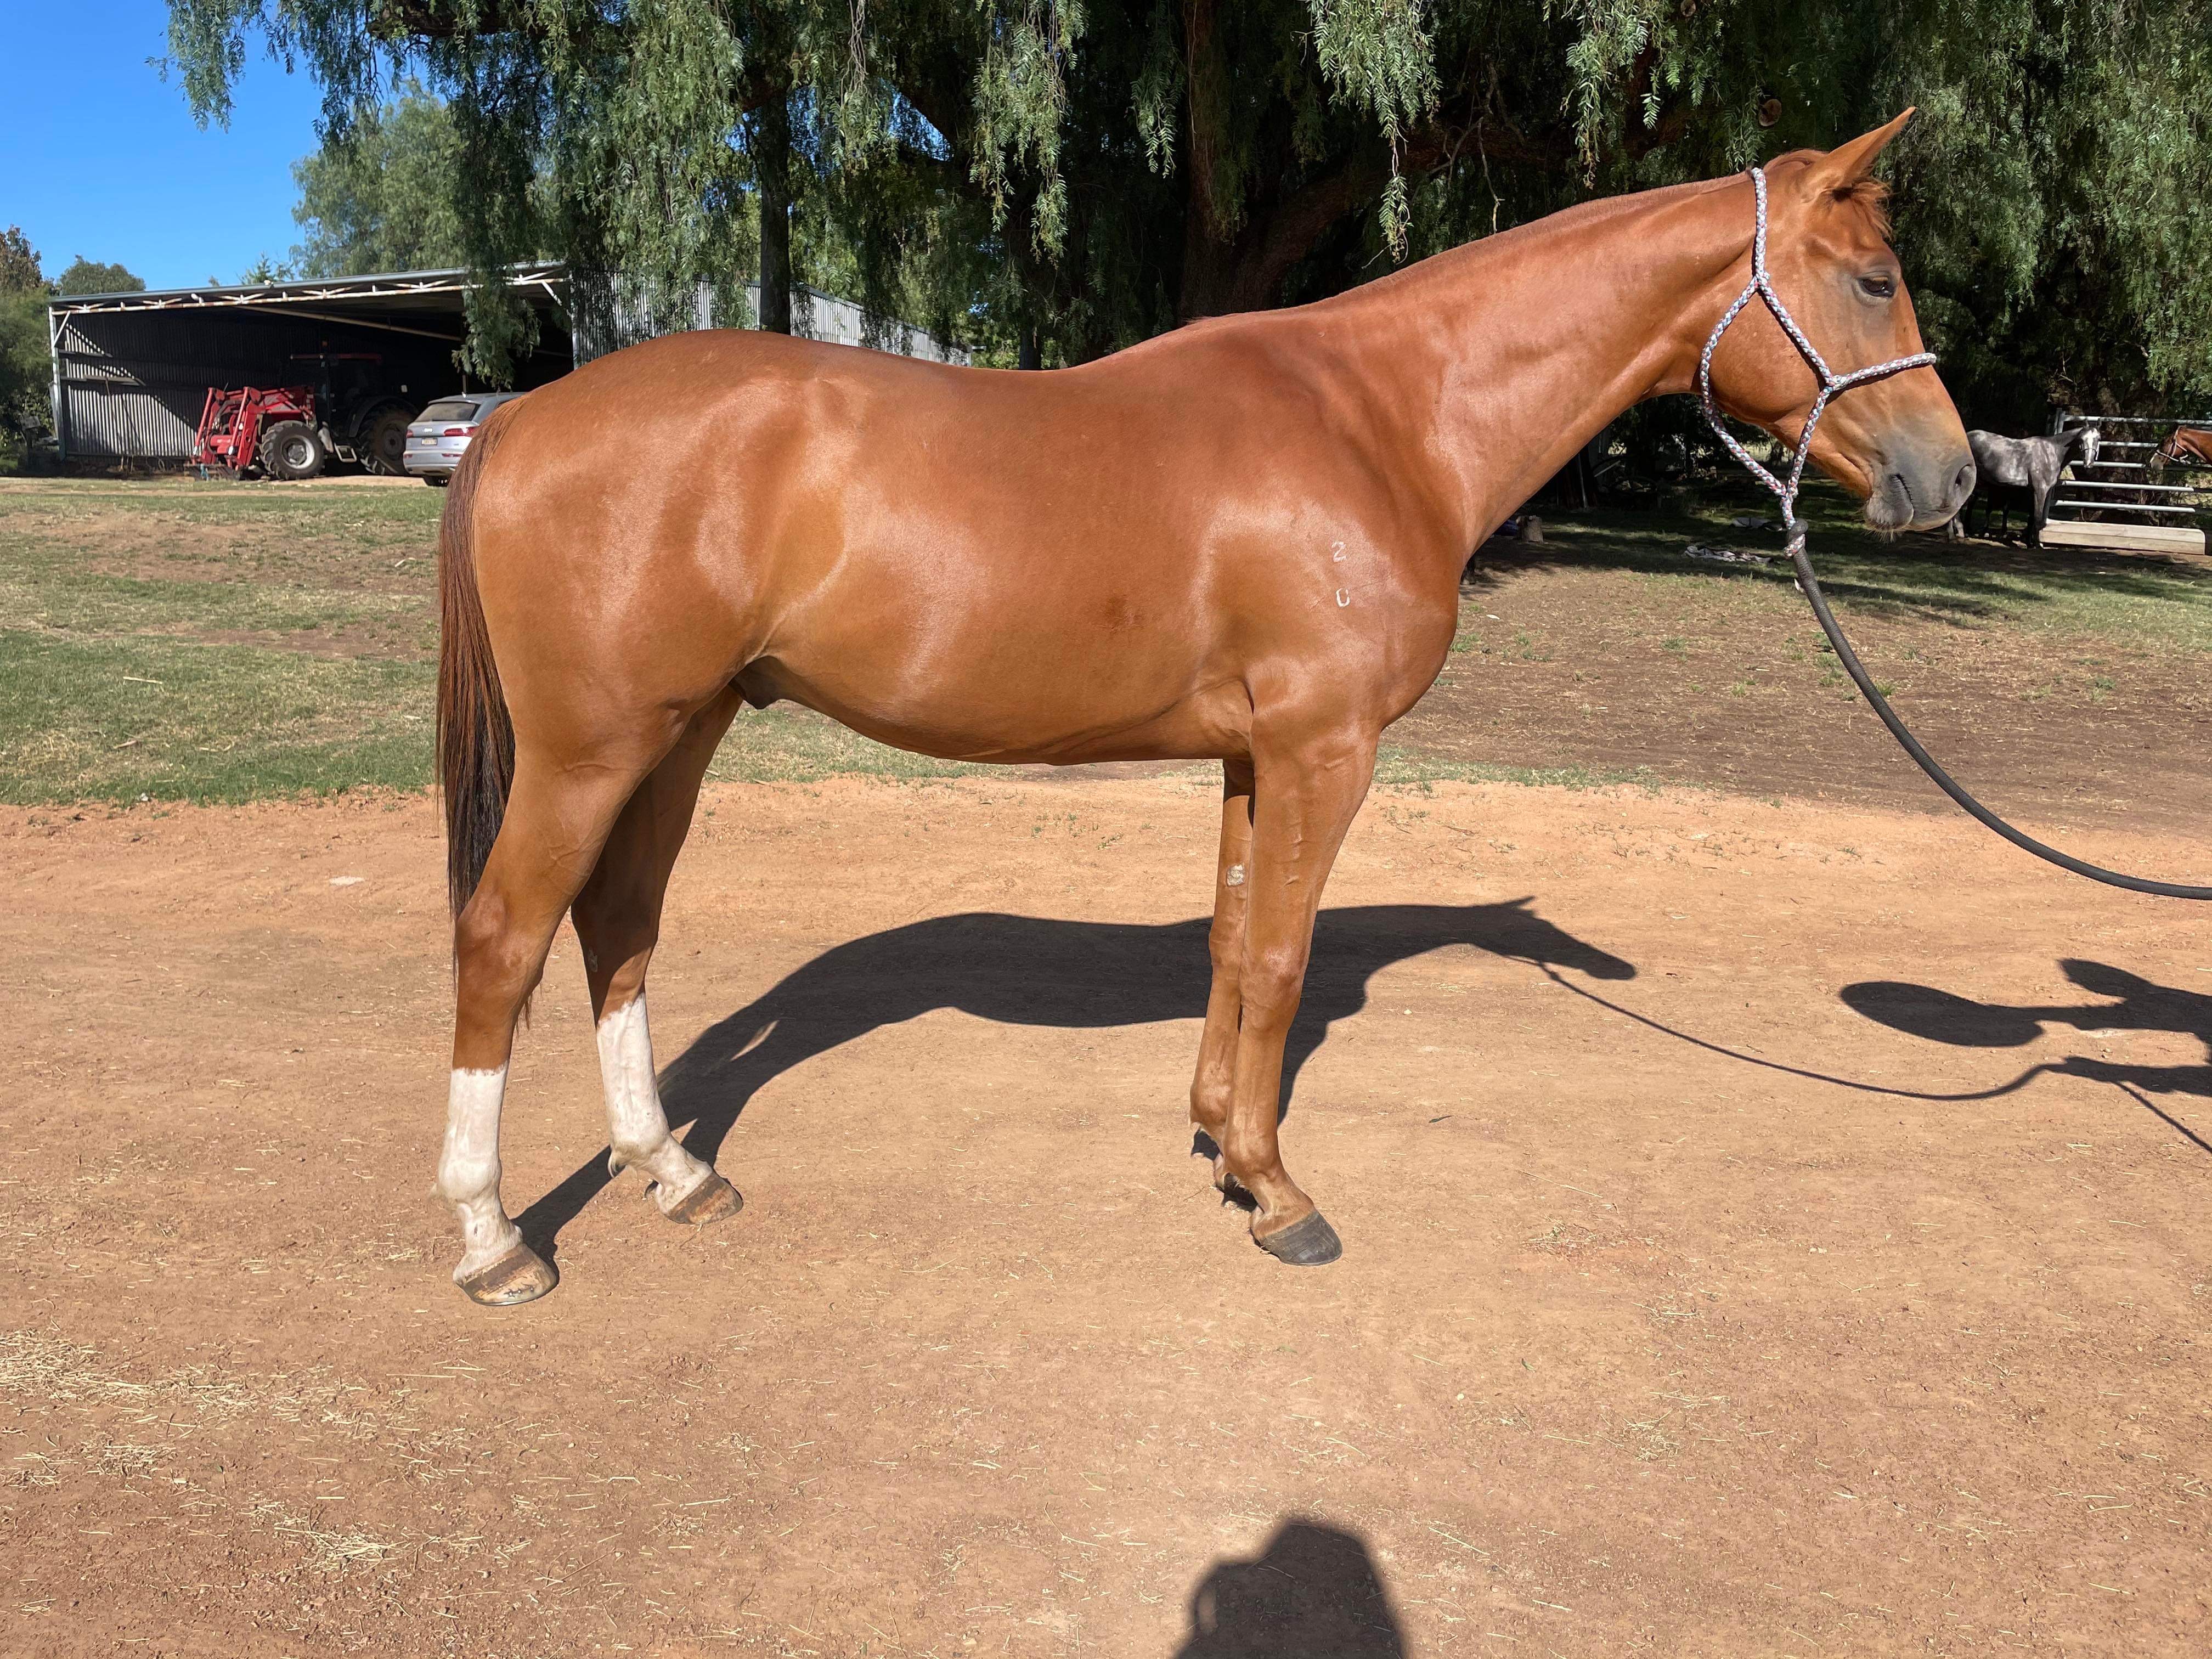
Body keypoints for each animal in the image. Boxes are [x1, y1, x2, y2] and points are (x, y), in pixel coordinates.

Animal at [432, 112, 1973, 1305]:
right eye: (1875, 278)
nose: (1952, 477)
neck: (1380, 420)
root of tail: (523, 414)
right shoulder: (1324, 750)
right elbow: (1283, 961)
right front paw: (1277, 1191)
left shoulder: (1251, 756)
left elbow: (1234, 944)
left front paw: (1215, 1139)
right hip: (592, 751)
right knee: (505, 941)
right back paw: (496, 1238)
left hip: (680, 736)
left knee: (619, 931)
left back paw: (673, 1171)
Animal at [1949, 424, 2098, 545]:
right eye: (2081, 439)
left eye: (2098, 438)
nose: (2089, 464)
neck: (2051, 453)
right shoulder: (2041, 490)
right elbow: (2038, 518)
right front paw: (2037, 544)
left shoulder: (2033, 491)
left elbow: (2032, 517)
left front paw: (2029, 542)